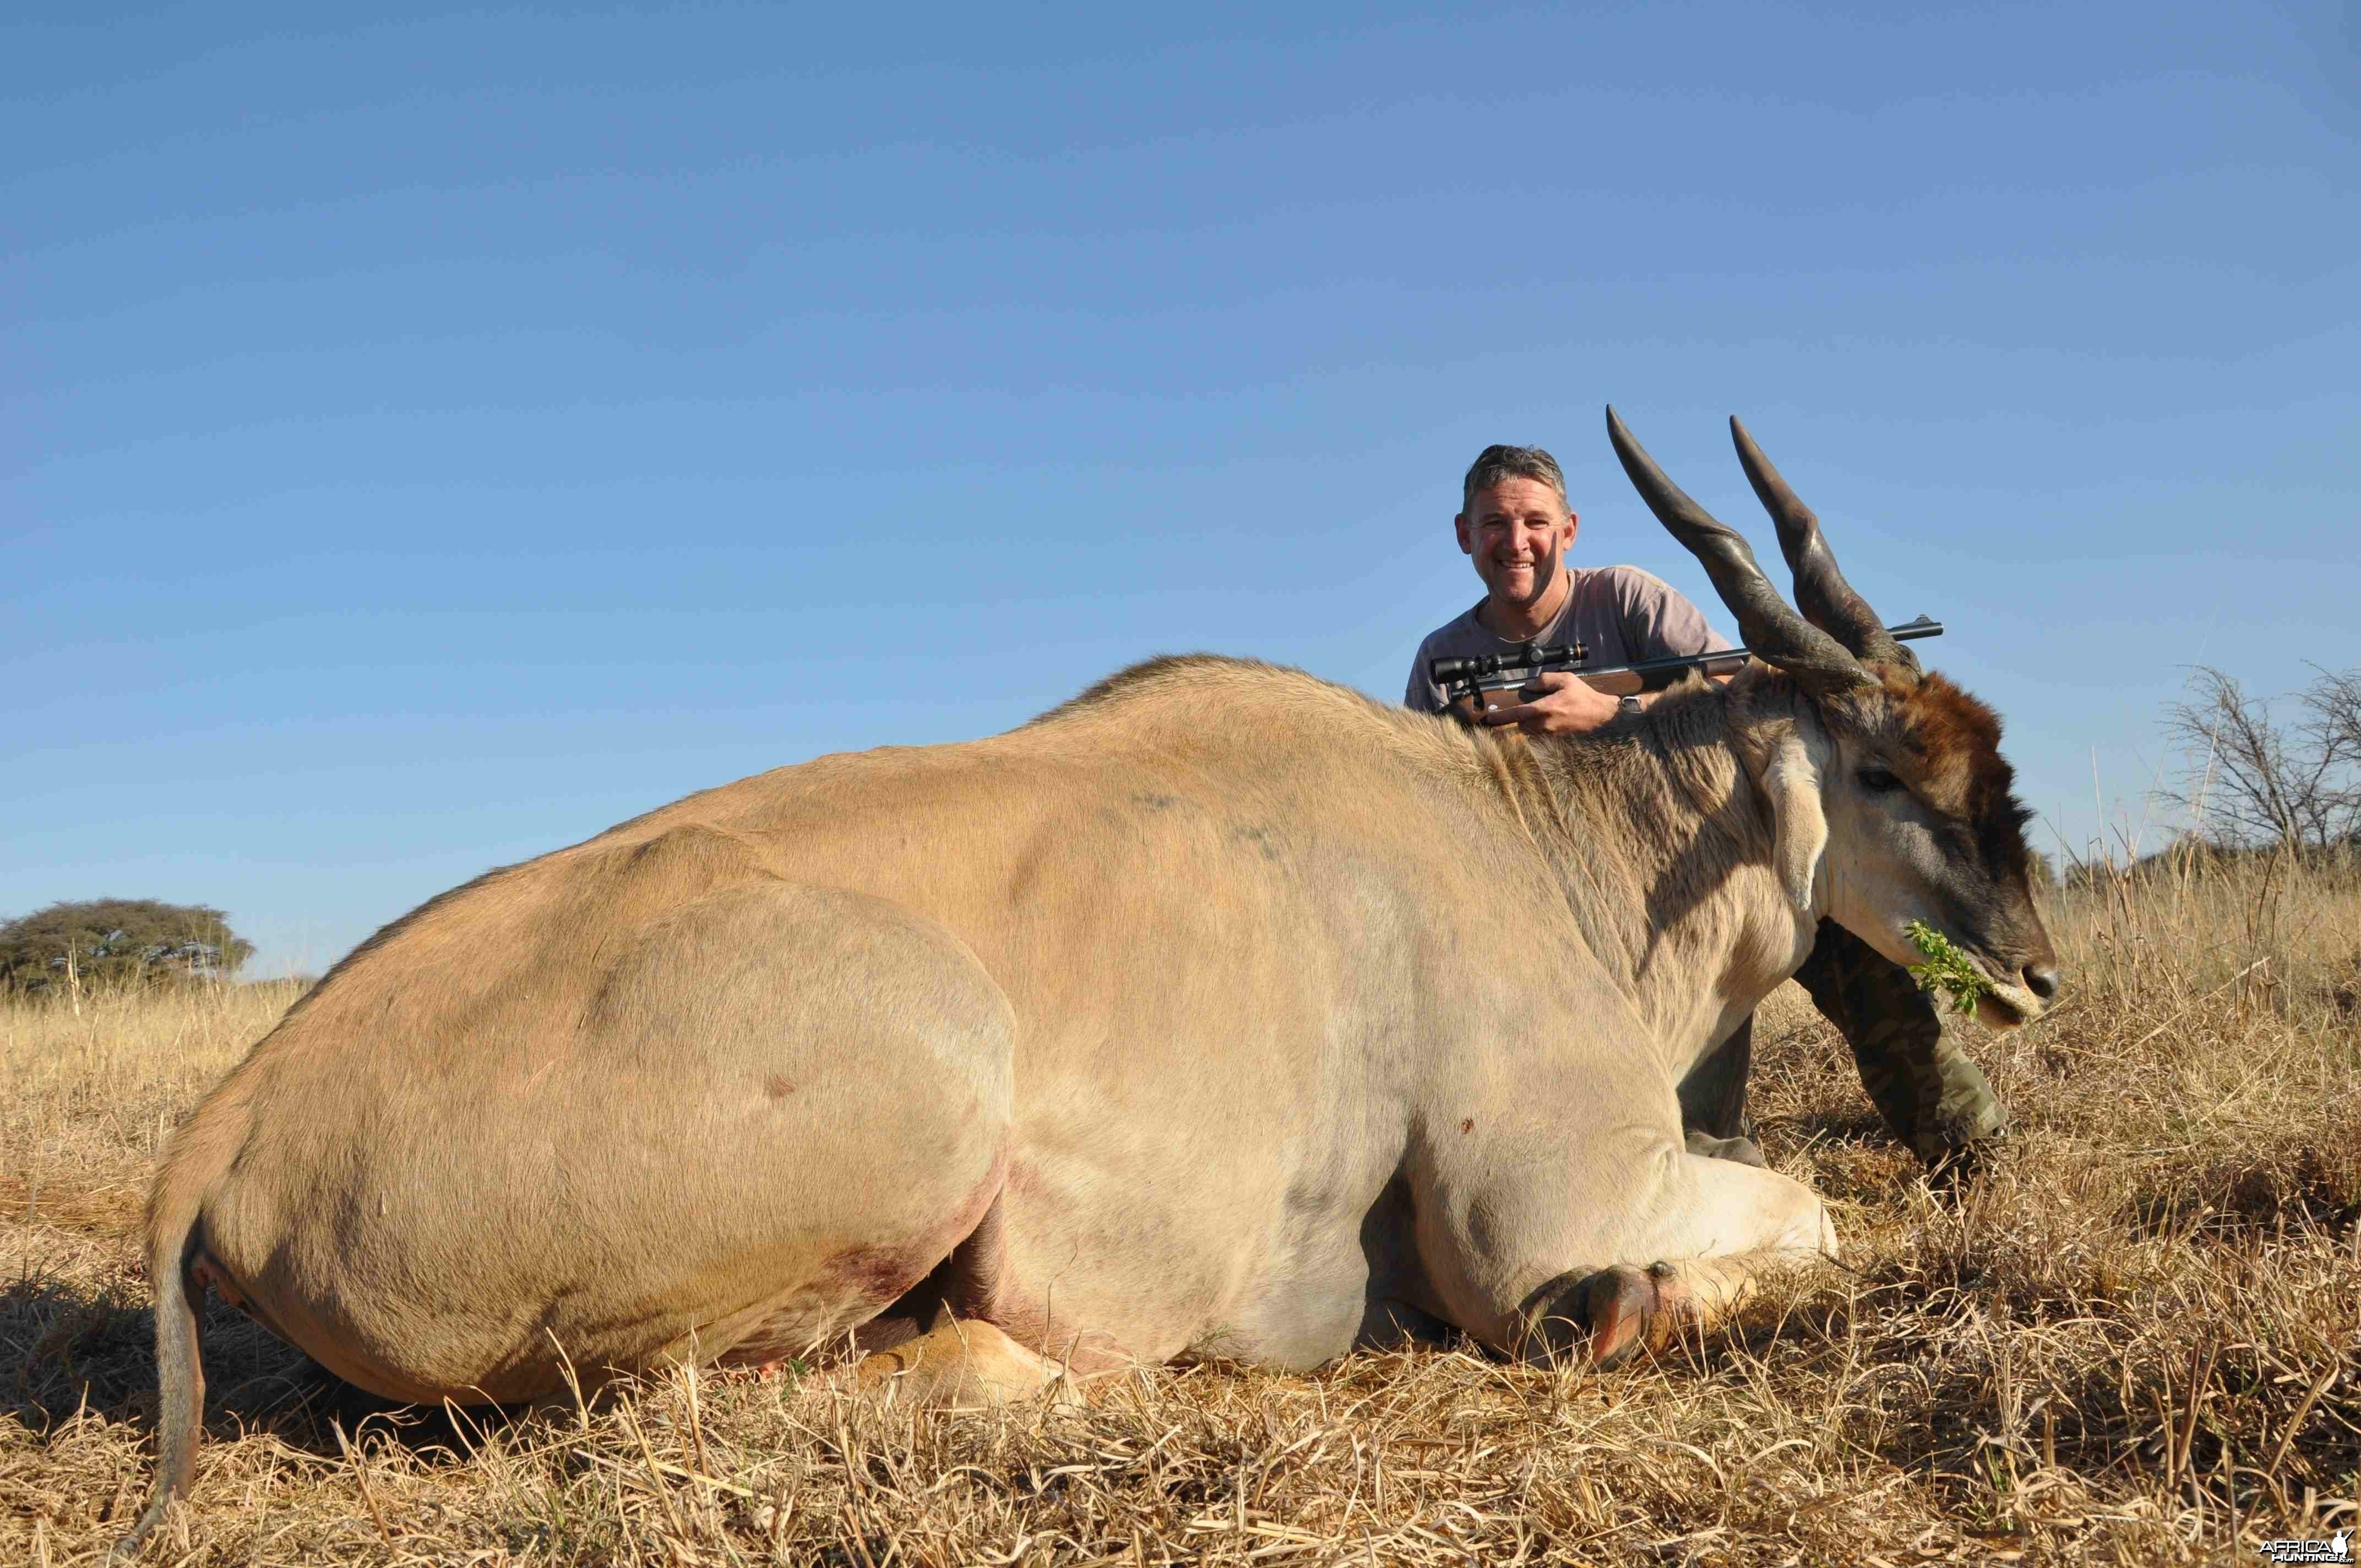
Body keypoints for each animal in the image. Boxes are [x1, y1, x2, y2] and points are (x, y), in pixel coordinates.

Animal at [124, 411, 2049, 1549]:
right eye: (1885, 766)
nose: (2032, 968)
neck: (1536, 837)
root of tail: (238, 1118)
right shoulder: (1543, 1219)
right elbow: (1793, 1225)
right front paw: (1628, 1309)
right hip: (921, 1104)